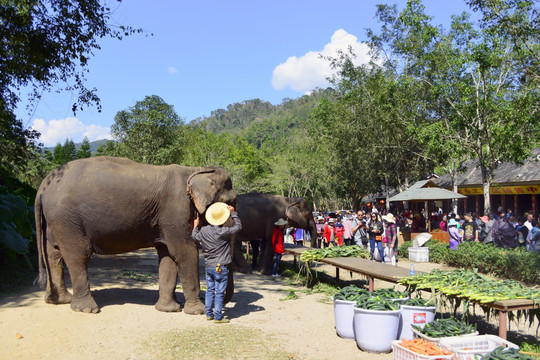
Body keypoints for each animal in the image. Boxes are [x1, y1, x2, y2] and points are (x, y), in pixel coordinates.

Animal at [34, 156, 236, 314]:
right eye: (229, 202)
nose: (225, 304)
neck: (196, 170)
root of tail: (46, 182)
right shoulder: (176, 210)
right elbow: (185, 252)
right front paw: (197, 311)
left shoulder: (166, 219)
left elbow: (167, 255)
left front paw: (169, 309)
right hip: (67, 219)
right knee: (78, 256)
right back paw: (86, 308)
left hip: (55, 220)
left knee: (53, 255)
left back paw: (60, 300)